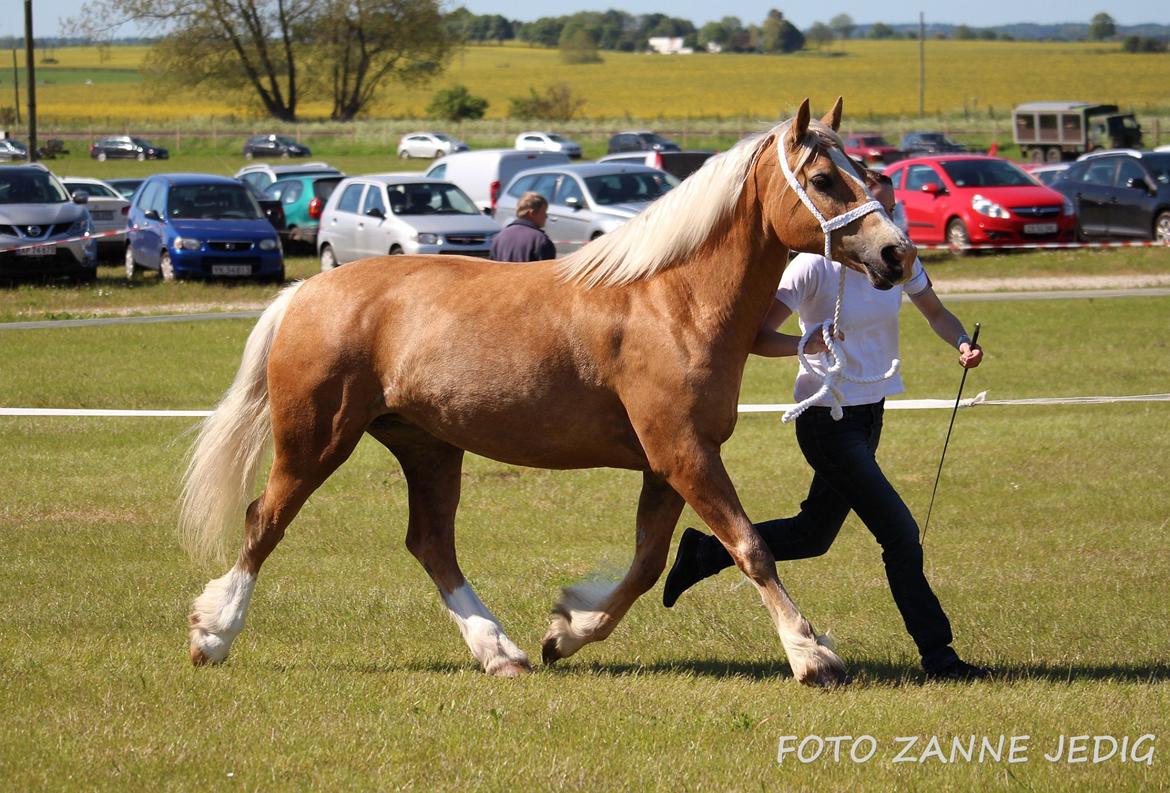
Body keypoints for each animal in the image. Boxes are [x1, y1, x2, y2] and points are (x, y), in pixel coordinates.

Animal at [180, 99, 912, 687]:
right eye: (822, 179)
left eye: (865, 170)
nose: (896, 253)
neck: (671, 299)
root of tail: (307, 290)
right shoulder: (683, 453)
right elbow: (750, 547)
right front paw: (811, 655)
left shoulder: (669, 462)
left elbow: (648, 564)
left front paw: (566, 631)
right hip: (317, 439)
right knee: (265, 519)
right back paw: (213, 634)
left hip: (428, 447)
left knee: (430, 544)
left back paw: (500, 651)